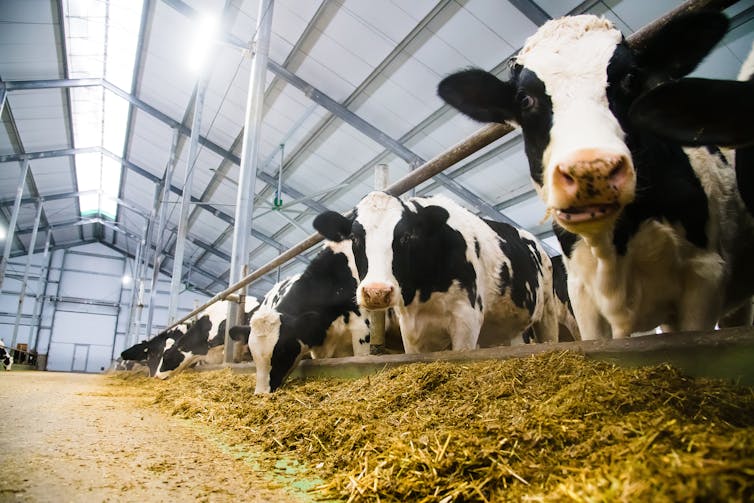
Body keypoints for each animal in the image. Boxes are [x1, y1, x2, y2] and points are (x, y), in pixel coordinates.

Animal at [312, 191, 560, 356]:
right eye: (354, 238)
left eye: (407, 236)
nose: (376, 292)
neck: (425, 291)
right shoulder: (410, 329)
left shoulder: (467, 319)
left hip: (547, 313)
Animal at [434, 11, 752, 340]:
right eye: (525, 99)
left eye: (631, 79)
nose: (591, 170)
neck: (615, 248)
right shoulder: (582, 295)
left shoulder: (704, 275)